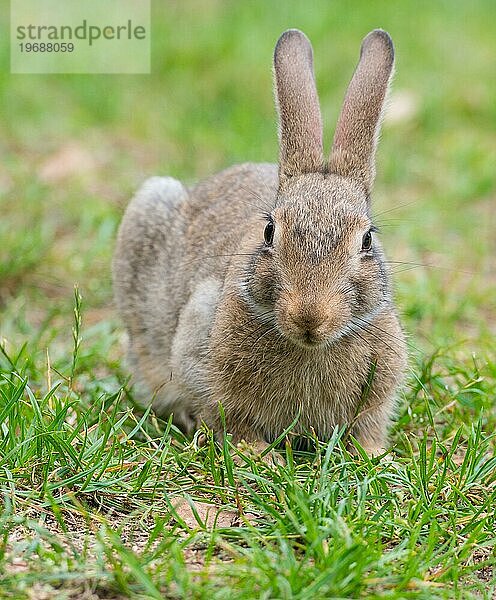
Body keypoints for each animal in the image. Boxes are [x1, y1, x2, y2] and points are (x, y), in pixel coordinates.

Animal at [112, 28, 406, 458]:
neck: (310, 347)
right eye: (269, 232)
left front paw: (373, 455)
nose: (309, 317)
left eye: (367, 240)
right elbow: (227, 416)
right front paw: (257, 455)